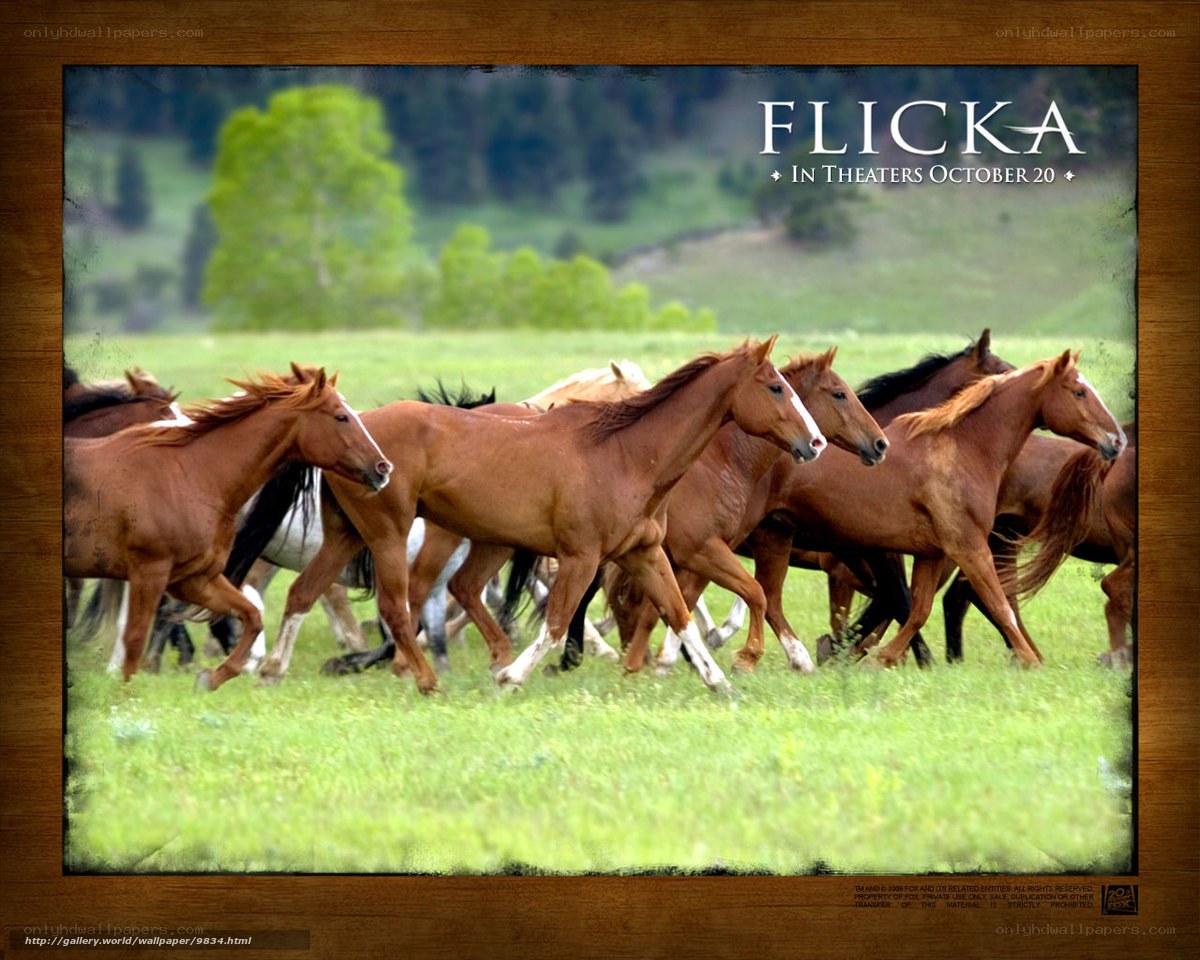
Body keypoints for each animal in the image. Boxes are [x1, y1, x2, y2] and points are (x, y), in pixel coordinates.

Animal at [64, 365, 392, 686]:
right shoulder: (151, 570)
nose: (383, 467)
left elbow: (251, 615)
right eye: (341, 416)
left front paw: (215, 674)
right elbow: (135, 635)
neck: (194, 473)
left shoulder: (194, 577)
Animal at [258, 338, 825, 695]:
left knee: (305, 592)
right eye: (775, 387)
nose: (815, 442)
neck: (627, 455)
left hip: (352, 535)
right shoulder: (579, 558)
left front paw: (718, 680)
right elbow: (556, 623)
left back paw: (271, 669)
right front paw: (513, 676)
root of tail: (357, 434)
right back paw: (427, 678)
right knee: (400, 605)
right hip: (389, 534)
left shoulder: (643, 554)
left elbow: (680, 614)